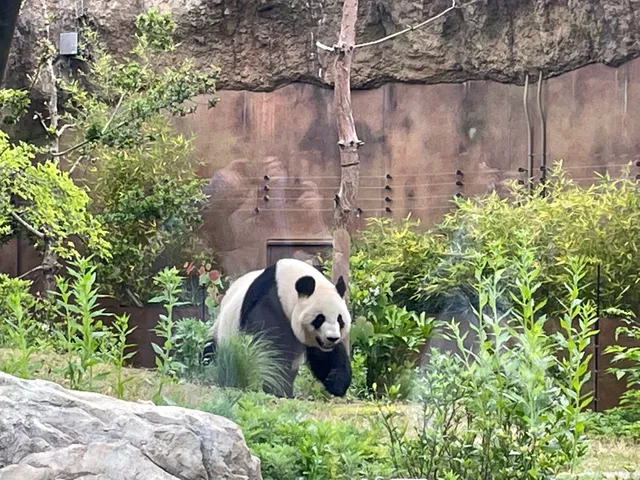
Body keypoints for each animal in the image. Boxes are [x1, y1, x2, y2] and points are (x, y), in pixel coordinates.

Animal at [202, 258, 352, 398]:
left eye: (340, 319)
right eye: (320, 319)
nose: (332, 338)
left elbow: (325, 356)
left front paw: (335, 381)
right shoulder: (270, 304)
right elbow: (269, 349)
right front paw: (277, 388)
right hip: (223, 332)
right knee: (211, 352)